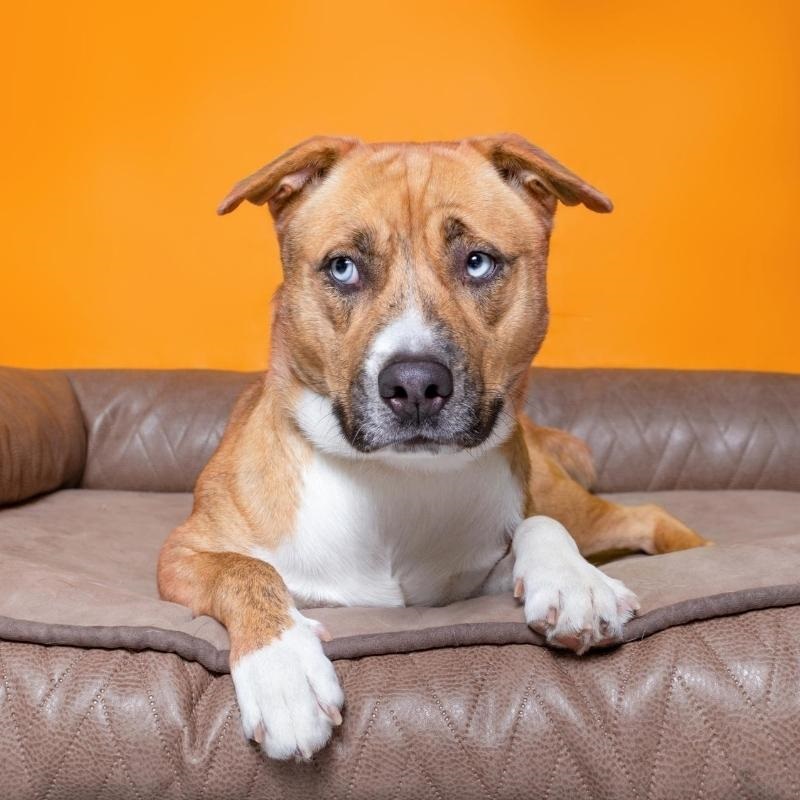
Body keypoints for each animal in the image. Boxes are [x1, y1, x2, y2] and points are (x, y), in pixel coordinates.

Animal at [156, 136, 708, 764]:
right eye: (343, 267)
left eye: (477, 262)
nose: (415, 384)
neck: (395, 479)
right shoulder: (183, 554)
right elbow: (245, 570)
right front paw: (283, 674)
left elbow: (536, 525)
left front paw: (577, 584)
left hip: (577, 504)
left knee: (642, 516)